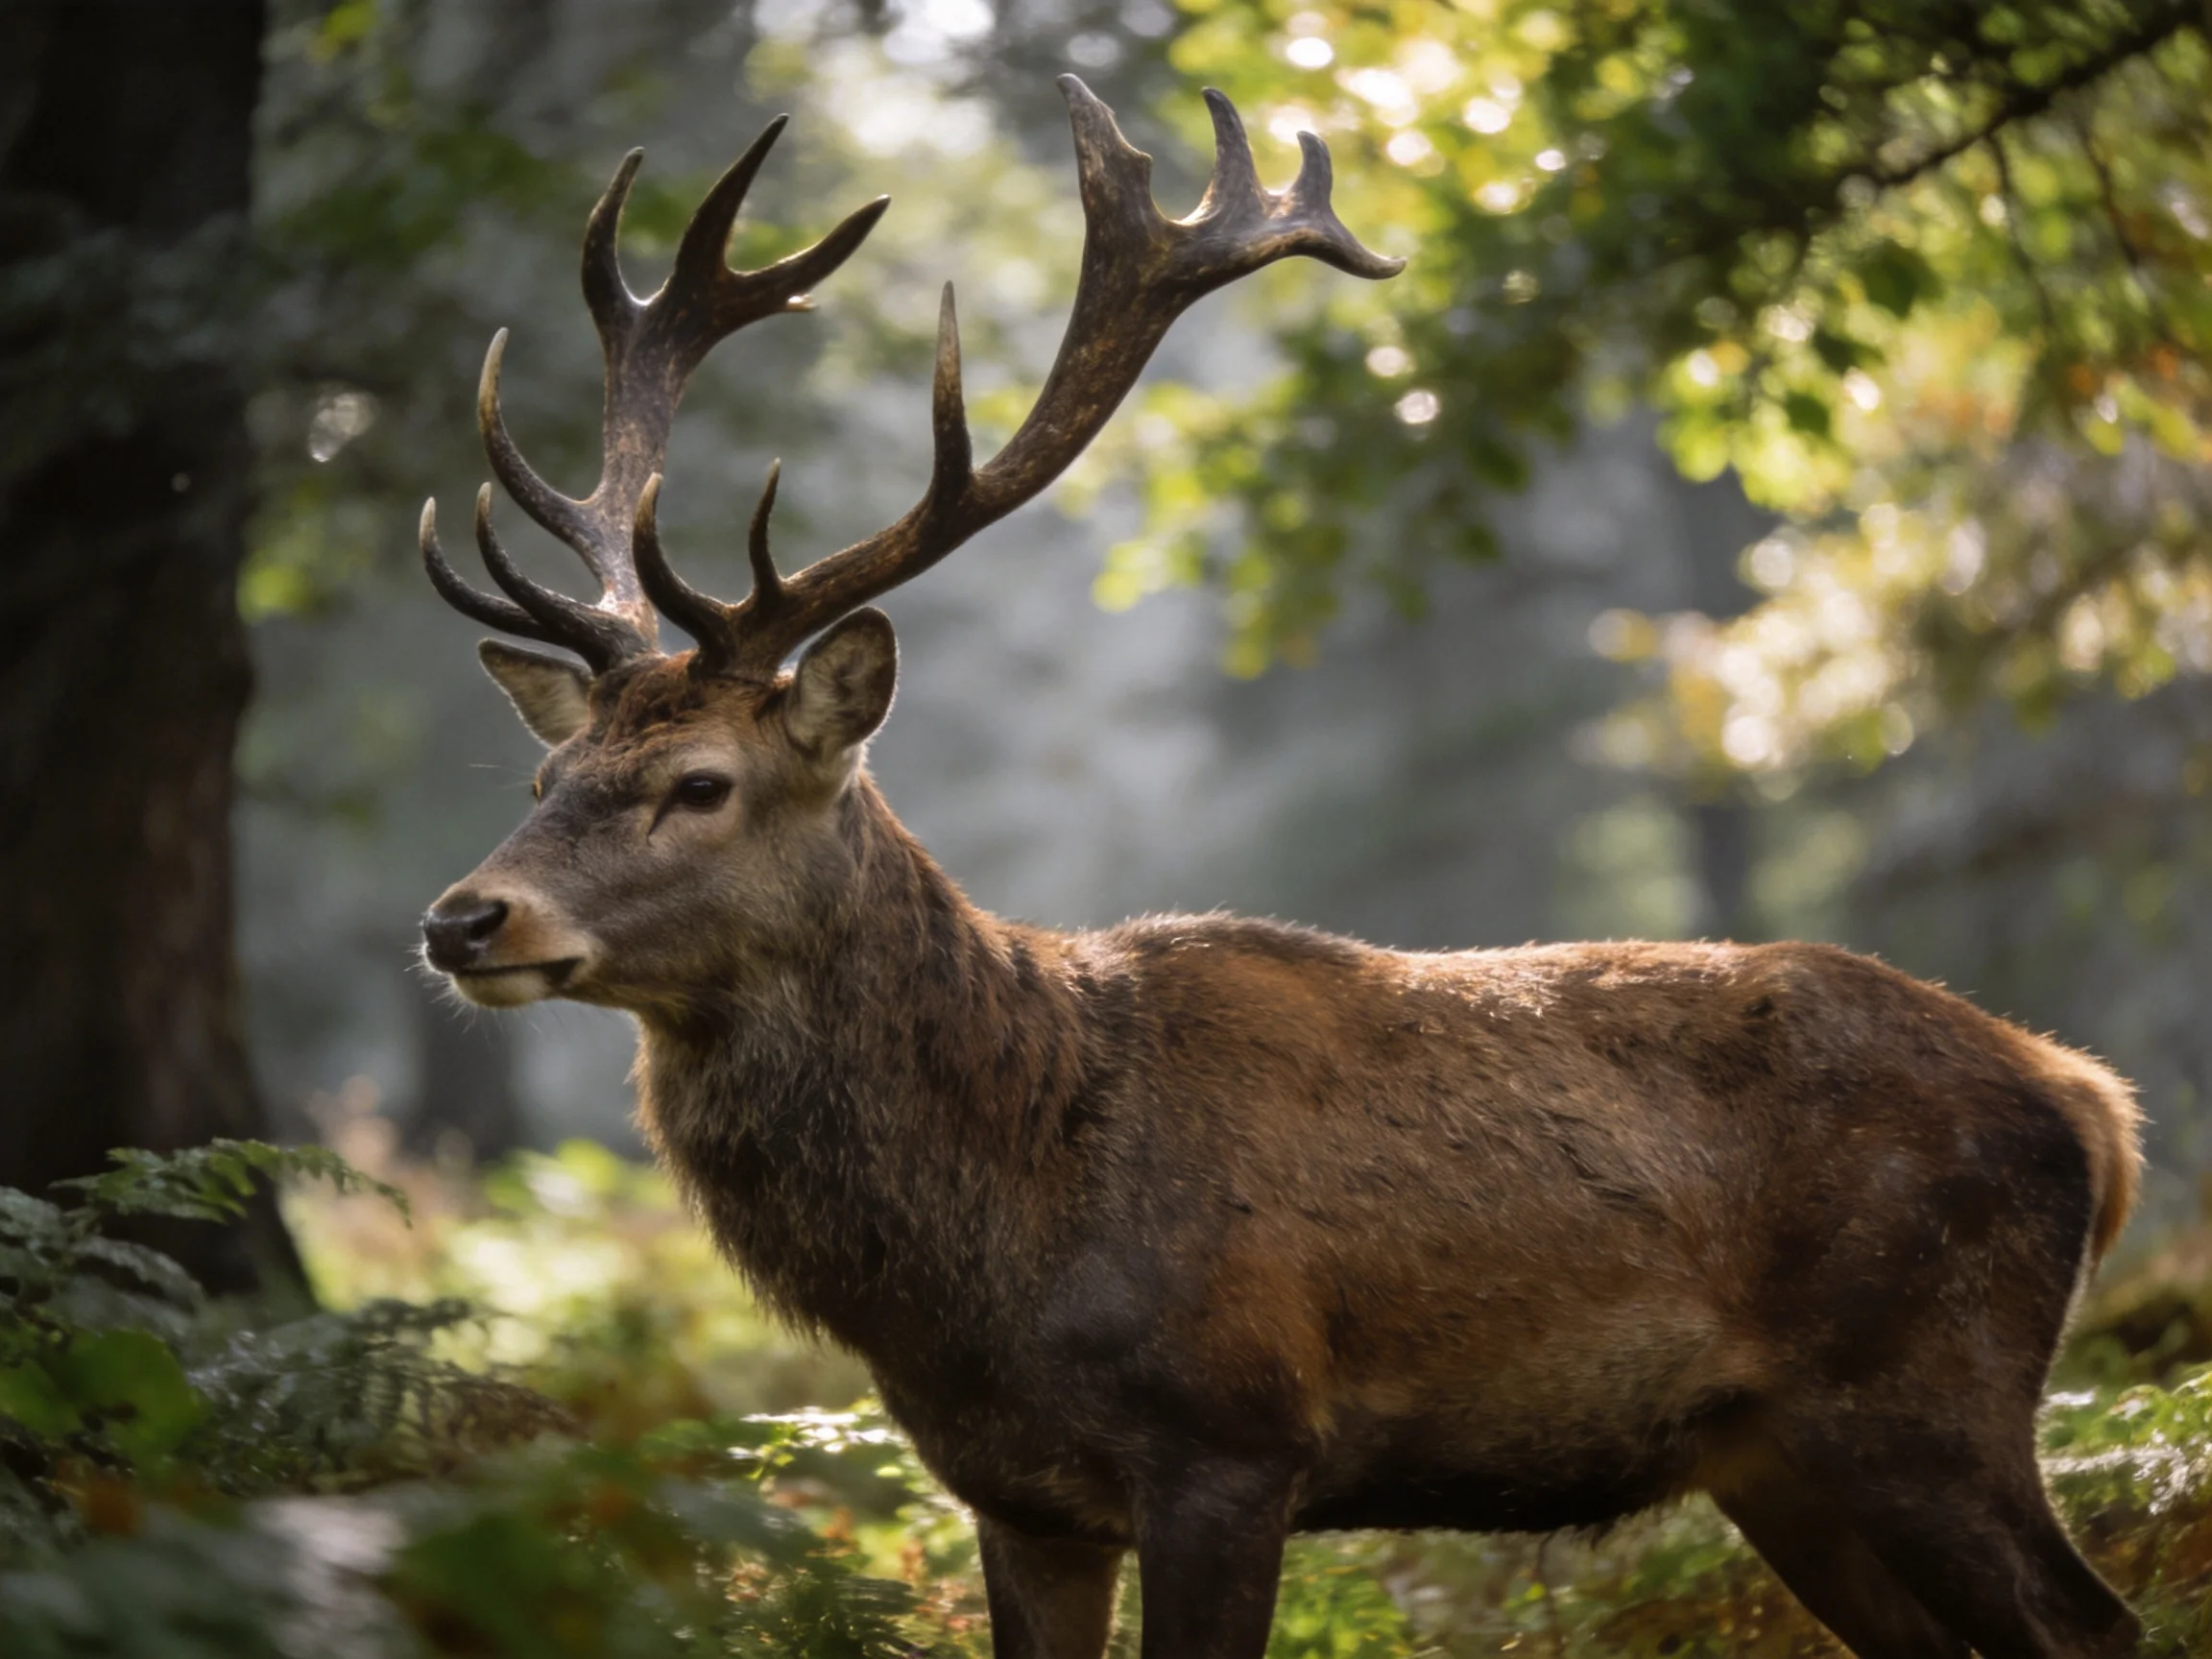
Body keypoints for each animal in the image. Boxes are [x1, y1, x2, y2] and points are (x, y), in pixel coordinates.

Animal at [417, 76, 2146, 1659]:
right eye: (546, 776)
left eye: (699, 784)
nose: (460, 917)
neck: (1000, 1235)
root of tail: (2089, 1103)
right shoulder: (1015, 1494)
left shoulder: (1232, 1439)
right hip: (1782, 1457)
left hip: (1923, 1389)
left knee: (2094, 1621)